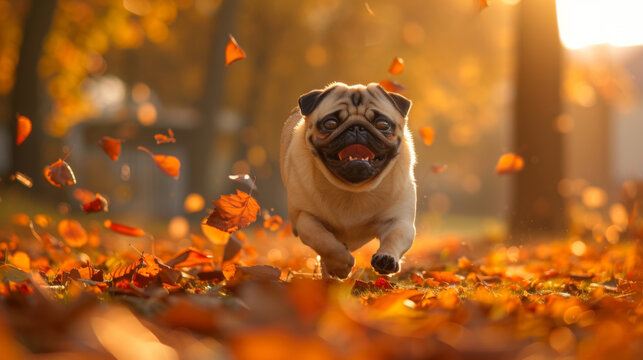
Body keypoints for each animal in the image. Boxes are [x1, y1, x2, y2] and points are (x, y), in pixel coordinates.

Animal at [282, 82, 418, 278]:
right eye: (330, 123)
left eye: (382, 124)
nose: (357, 127)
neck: (353, 189)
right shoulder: (305, 217)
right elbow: (323, 240)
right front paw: (340, 264)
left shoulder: (399, 220)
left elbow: (395, 236)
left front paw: (386, 258)